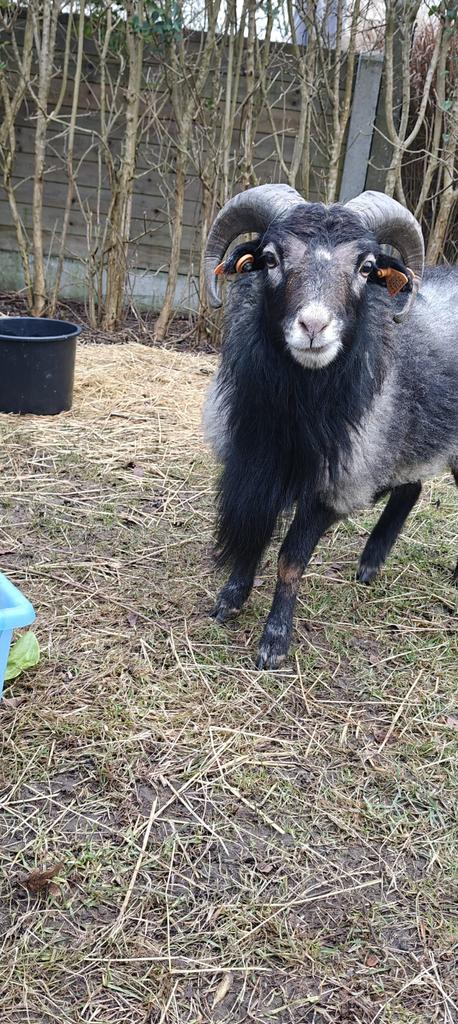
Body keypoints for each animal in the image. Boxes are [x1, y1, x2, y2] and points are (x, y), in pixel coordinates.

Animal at [202, 184, 458, 669]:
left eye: (366, 267)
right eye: (270, 258)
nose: (314, 326)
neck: (296, 407)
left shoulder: (335, 483)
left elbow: (290, 560)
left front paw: (274, 642)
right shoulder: (255, 463)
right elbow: (255, 536)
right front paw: (230, 600)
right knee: (410, 487)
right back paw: (370, 564)